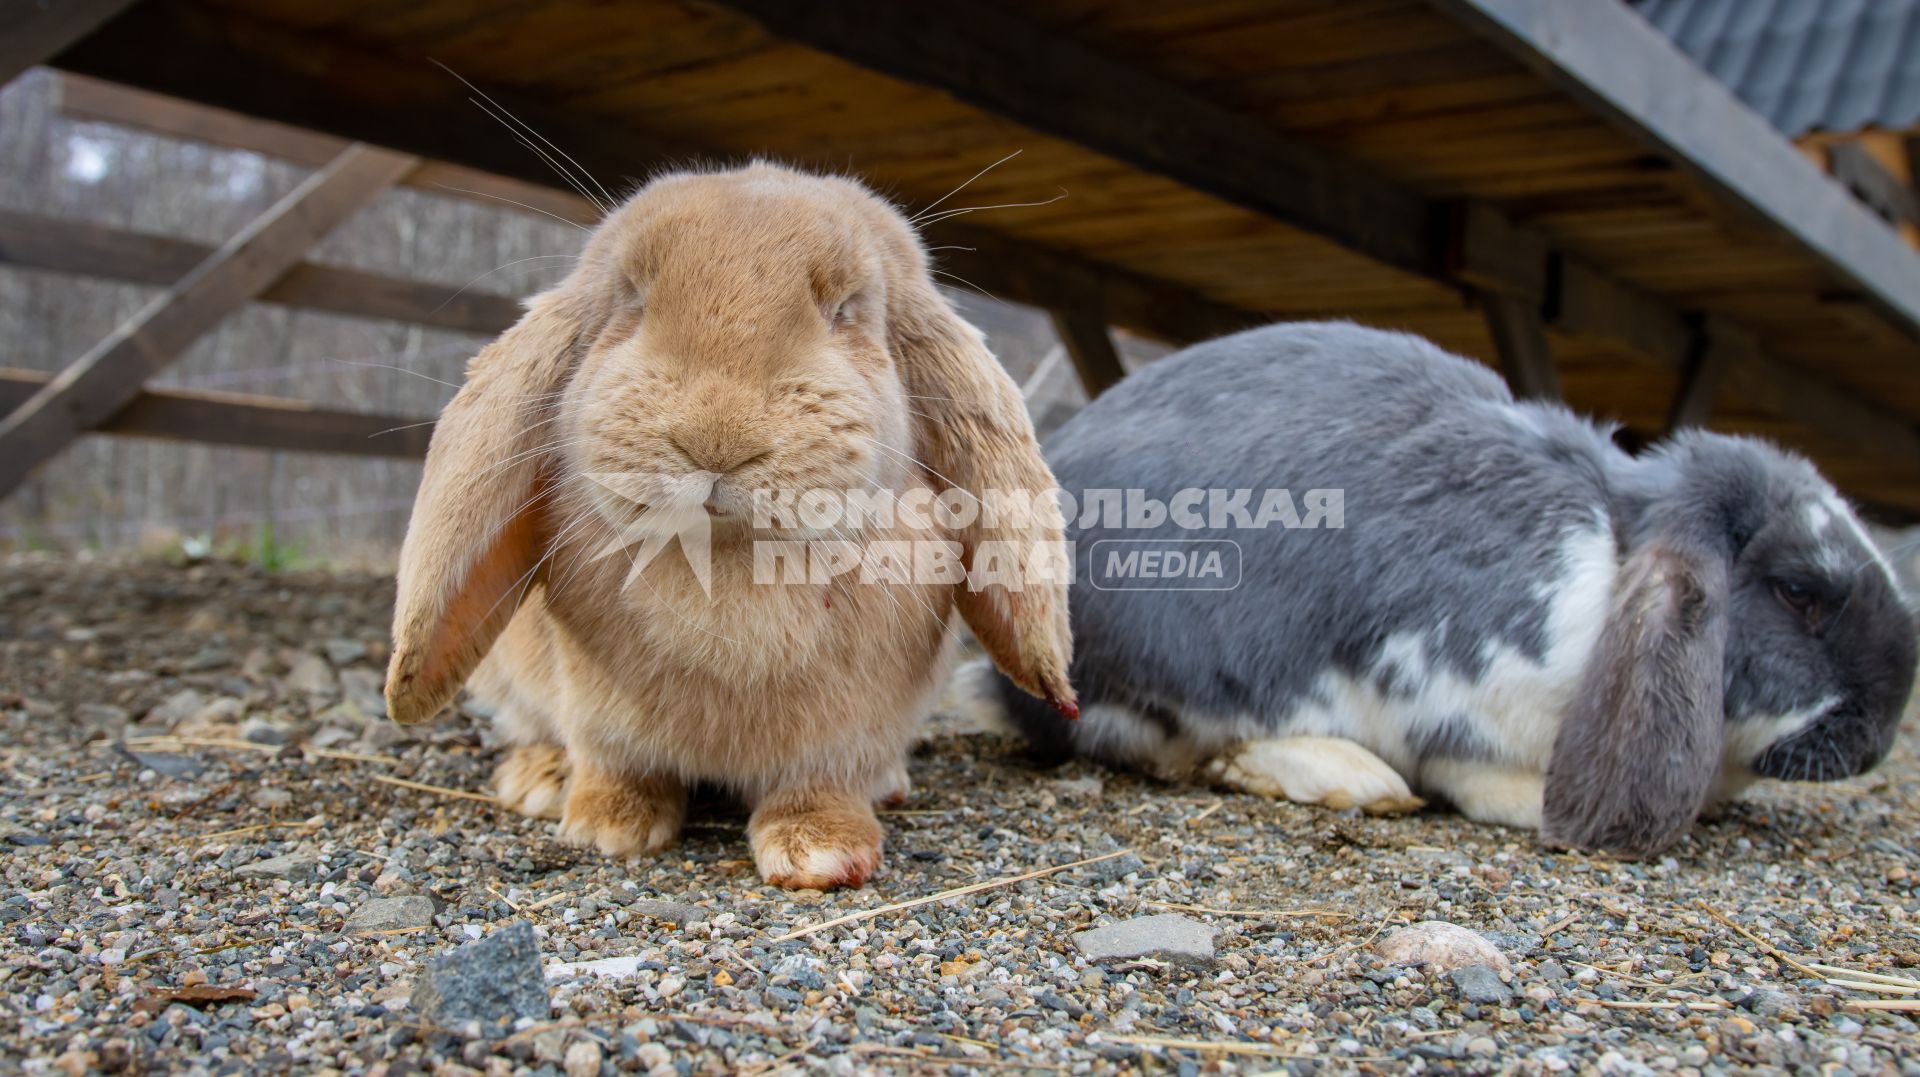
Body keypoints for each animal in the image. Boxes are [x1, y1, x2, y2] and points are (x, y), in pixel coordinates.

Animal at [385, 161, 1082, 883]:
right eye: (631, 299)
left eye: (845, 309)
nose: (716, 437)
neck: (725, 558)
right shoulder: (599, 712)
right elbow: (616, 762)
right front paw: (608, 827)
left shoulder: (847, 730)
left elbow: (820, 783)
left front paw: (823, 853)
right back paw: (542, 780)